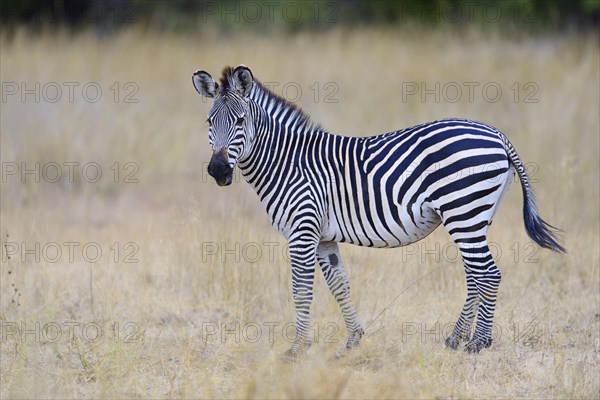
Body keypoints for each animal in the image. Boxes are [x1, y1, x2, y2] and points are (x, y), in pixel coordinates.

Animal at [190, 65, 564, 356]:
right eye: (209, 122)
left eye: (240, 121)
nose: (218, 171)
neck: (287, 162)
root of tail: (497, 134)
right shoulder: (323, 237)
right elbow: (339, 284)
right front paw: (353, 340)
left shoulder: (303, 231)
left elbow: (302, 290)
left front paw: (297, 349)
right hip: (475, 215)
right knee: (475, 274)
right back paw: (456, 338)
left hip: (464, 210)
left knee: (489, 273)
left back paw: (478, 343)